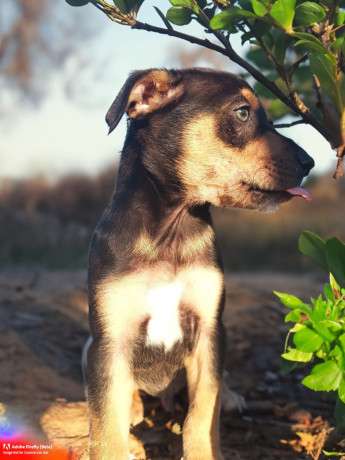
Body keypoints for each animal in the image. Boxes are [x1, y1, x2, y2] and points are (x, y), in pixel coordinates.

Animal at [82, 69, 312, 460]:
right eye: (242, 113)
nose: (310, 163)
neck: (170, 232)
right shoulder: (109, 341)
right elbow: (107, 426)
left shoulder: (209, 329)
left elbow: (203, 412)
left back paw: (231, 397)